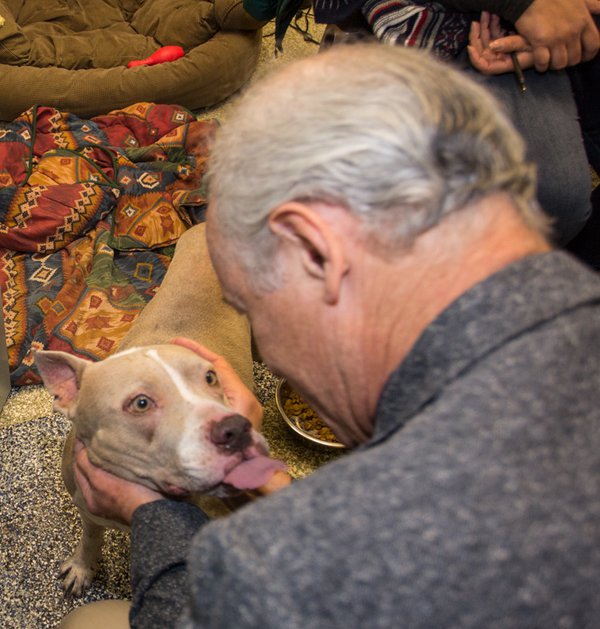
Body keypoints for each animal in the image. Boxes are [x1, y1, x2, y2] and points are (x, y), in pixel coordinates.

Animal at [34, 223, 288, 596]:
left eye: (211, 377)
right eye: (141, 403)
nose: (235, 429)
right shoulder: (87, 506)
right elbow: (90, 537)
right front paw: (83, 566)